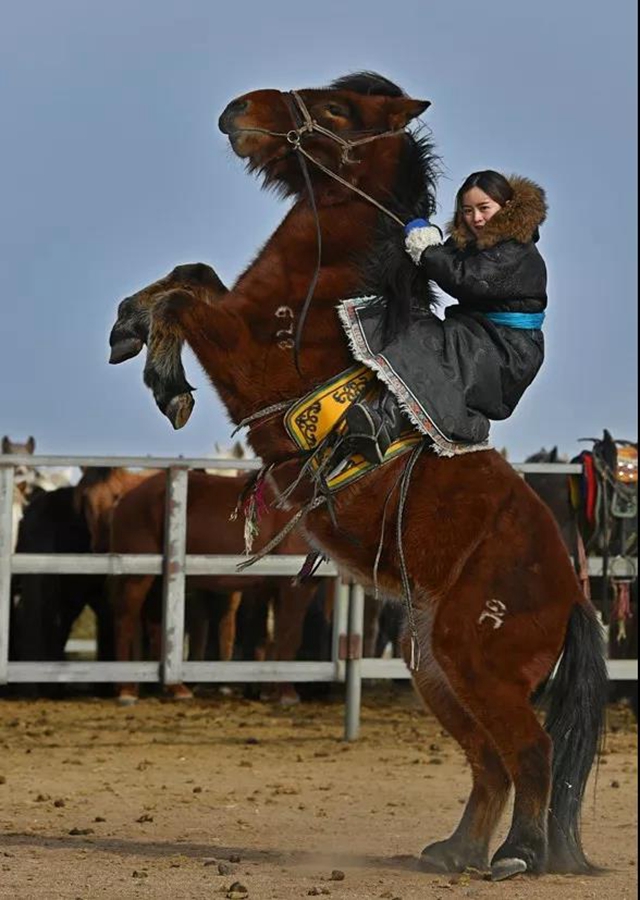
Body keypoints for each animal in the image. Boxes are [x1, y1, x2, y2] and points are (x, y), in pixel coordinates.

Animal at [110, 72, 608, 880]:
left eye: (339, 110)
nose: (241, 110)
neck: (324, 296)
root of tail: (571, 593)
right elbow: (191, 275)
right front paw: (128, 324)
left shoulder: (245, 351)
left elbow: (188, 297)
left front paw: (166, 379)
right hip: (436, 668)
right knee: (489, 763)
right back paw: (457, 851)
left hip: (479, 667)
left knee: (529, 752)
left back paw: (517, 855)